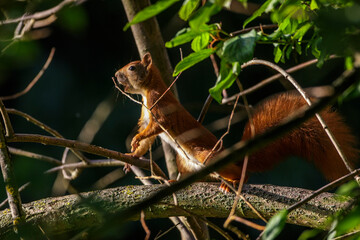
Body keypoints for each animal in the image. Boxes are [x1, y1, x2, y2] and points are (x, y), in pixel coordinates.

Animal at [114, 53, 358, 188]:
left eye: (132, 67)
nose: (115, 76)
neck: (147, 90)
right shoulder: (146, 112)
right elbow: (147, 137)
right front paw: (132, 155)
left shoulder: (159, 105)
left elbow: (156, 126)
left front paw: (135, 140)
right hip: (186, 162)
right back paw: (178, 181)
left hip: (205, 155)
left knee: (236, 172)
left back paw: (234, 181)